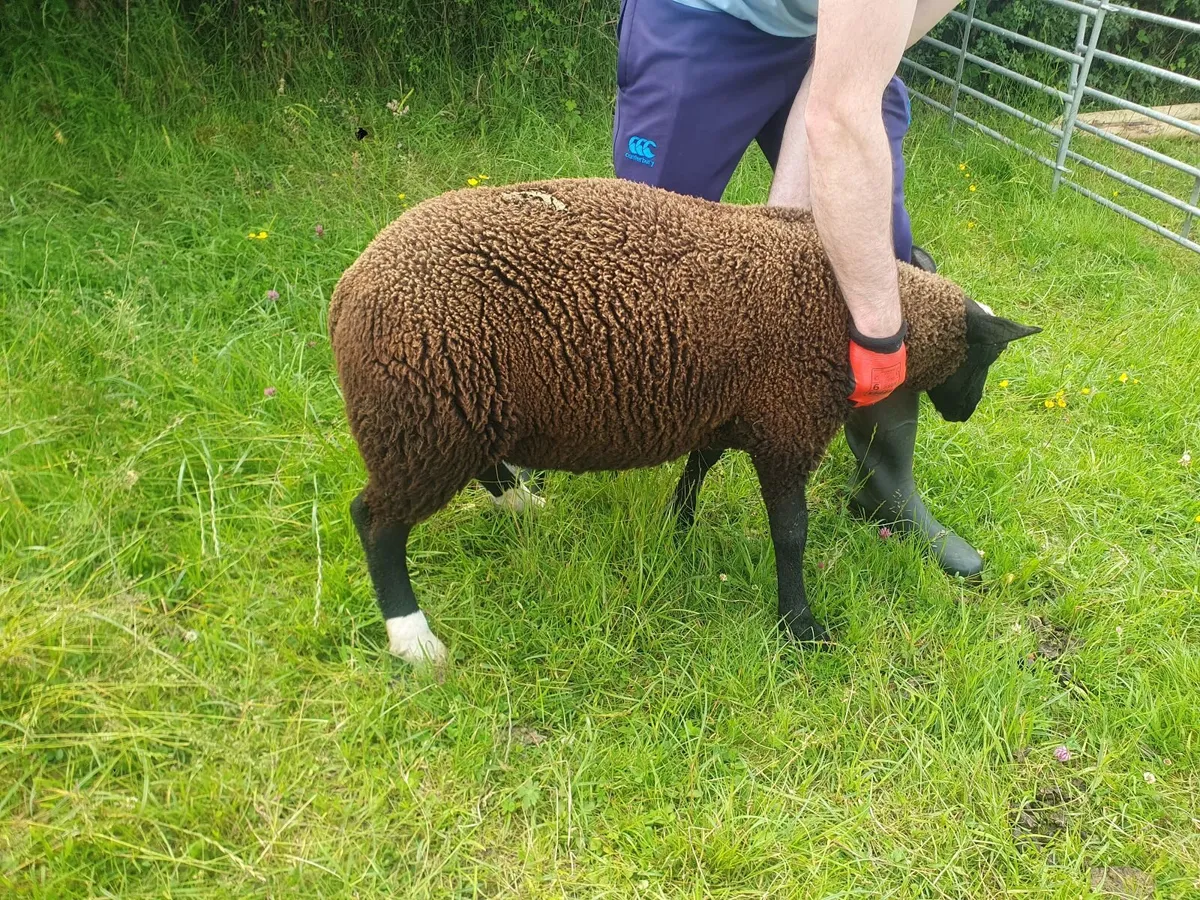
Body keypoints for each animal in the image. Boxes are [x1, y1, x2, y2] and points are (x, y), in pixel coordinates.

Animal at [329, 177, 1039, 664]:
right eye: (986, 356)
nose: (965, 413)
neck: (857, 312)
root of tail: (346, 292)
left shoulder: (730, 412)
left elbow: (700, 465)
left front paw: (679, 526)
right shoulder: (789, 425)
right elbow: (791, 534)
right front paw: (799, 625)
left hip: (461, 413)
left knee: (474, 470)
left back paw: (523, 506)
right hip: (421, 420)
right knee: (376, 523)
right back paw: (413, 639)